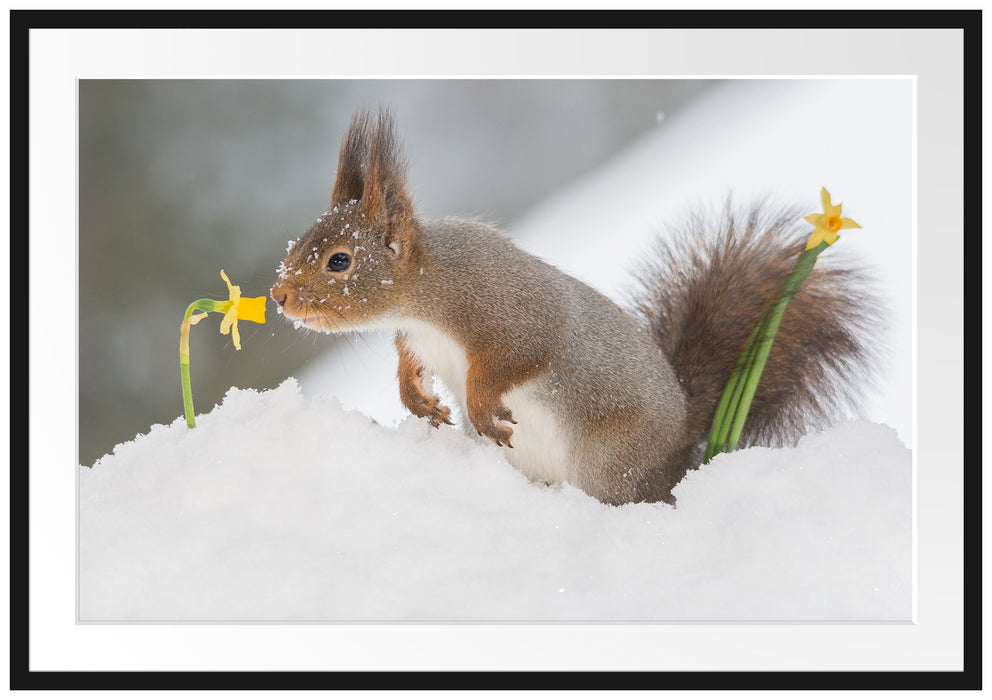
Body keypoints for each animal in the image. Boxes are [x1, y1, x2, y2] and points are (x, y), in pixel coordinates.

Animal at [270, 108, 876, 504]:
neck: (425, 295)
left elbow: (517, 358)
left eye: (340, 262)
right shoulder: (417, 339)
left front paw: (482, 406)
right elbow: (408, 365)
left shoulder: (512, 313)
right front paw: (419, 402)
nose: (279, 296)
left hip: (612, 461)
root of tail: (684, 447)